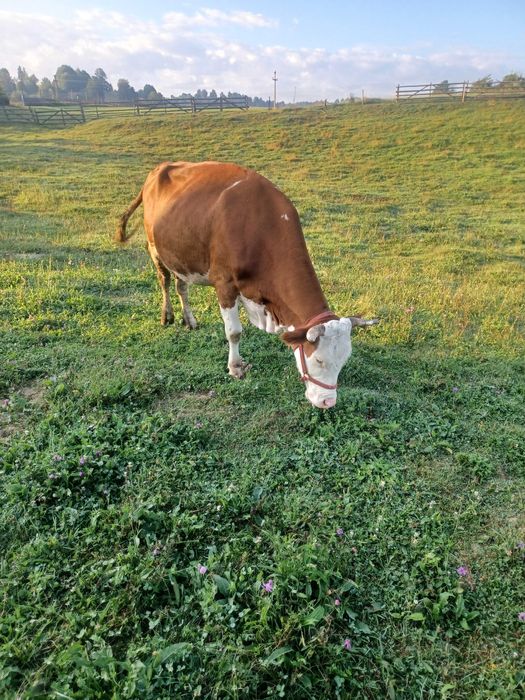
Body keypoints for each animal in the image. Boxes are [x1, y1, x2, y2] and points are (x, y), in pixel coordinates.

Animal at [116, 161, 378, 409]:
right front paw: (235, 368)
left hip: (180, 253)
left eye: (344, 360)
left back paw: (189, 320)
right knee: (166, 282)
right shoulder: (224, 284)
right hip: (155, 248)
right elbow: (234, 332)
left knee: (182, 286)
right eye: (319, 360)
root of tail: (158, 169)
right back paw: (167, 315)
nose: (327, 402)